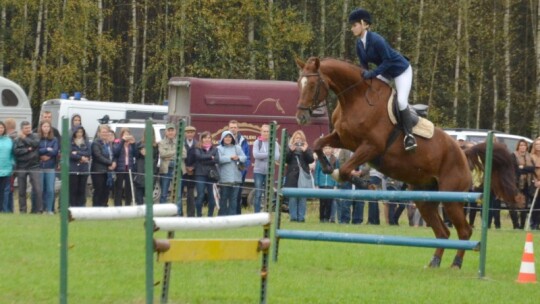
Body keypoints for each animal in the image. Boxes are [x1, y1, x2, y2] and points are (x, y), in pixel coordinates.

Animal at [296, 57, 520, 268]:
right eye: (300, 83)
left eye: (312, 85)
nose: (301, 116)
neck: (356, 98)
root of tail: (463, 153)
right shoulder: (342, 139)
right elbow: (318, 144)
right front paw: (327, 166)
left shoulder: (371, 147)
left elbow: (344, 169)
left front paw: (360, 182)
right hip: (425, 199)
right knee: (443, 232)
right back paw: (434, 262)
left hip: (452, 198)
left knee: (464, 231)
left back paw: (456, 264)